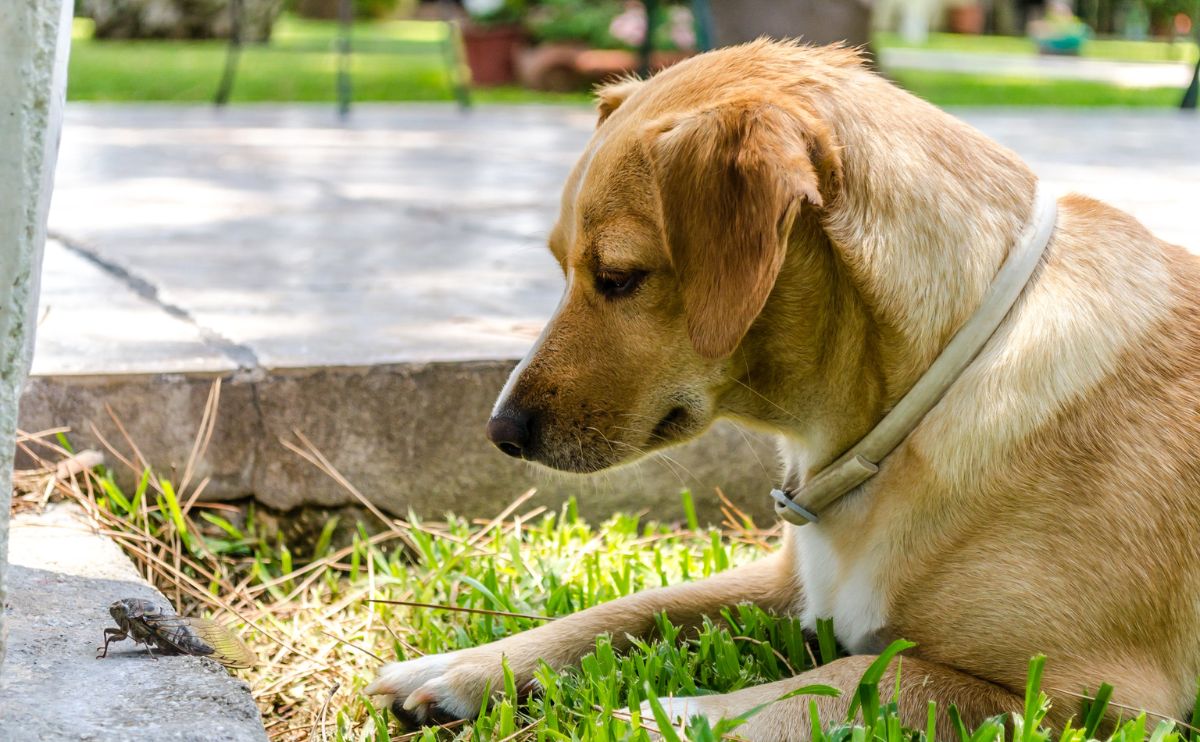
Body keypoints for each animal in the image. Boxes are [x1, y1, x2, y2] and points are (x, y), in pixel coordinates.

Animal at [364, 39, 1200, 734]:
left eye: (620, 277)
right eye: (561, 266)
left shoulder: (1087, 699)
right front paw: (475, 664)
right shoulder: (783, 583)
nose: (500, 432)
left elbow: (861, 678)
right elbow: (634, 606)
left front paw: (668, 714)